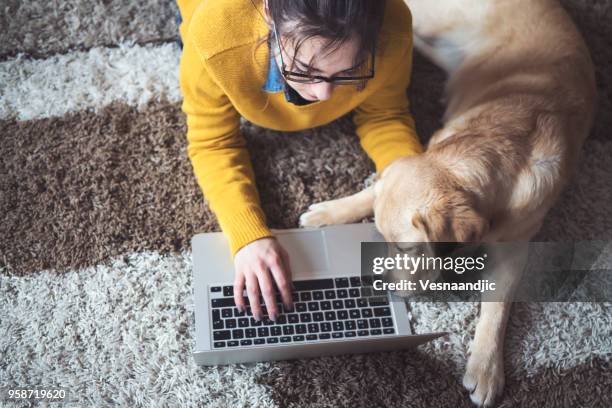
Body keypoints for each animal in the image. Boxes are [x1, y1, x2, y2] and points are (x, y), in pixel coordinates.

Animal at [298, 1, 596, 406]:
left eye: (406, 249)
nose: (381, 283)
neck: (490, 153)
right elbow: (372, 191)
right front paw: (331, 211)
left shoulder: (515, 247)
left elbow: (497, 307)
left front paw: (486, 367)